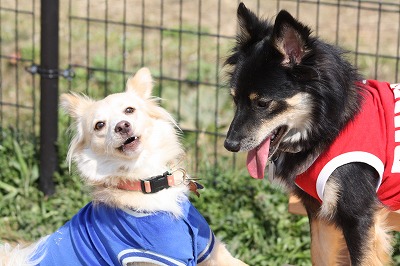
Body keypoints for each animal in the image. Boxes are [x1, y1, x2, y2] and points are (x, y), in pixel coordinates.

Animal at [225, 2, 400, 266]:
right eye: (235, 100)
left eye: (263, 103)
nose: (229, 145)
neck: (329, 126)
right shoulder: (318, 212)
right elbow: (319, 256)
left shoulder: (358, 217)